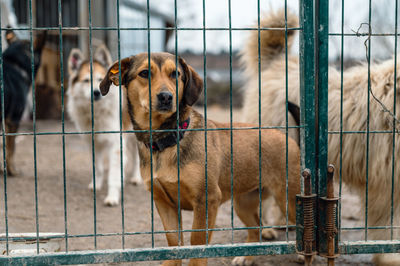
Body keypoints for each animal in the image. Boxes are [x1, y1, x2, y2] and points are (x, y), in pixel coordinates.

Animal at [68, 45, 142, 206]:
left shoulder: (115, 145)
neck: (96, 112)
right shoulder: (93, 142)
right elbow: (99, 168)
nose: (96, 93)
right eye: (86, 81)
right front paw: (96, 184)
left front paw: (112, 197)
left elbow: (113, 175)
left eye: (100, 79)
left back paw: (137, 178)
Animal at [100, 52, 300, 266]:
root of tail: (288, 138)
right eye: (144, 73)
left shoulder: (207, 199)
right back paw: (246, 257)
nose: (166, 97)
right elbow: (173, 241)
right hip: (243, 203)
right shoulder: (164, 202)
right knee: (255, 229)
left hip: (288, 200)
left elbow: (197, 242)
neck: (167, 141)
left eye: (175, 74)